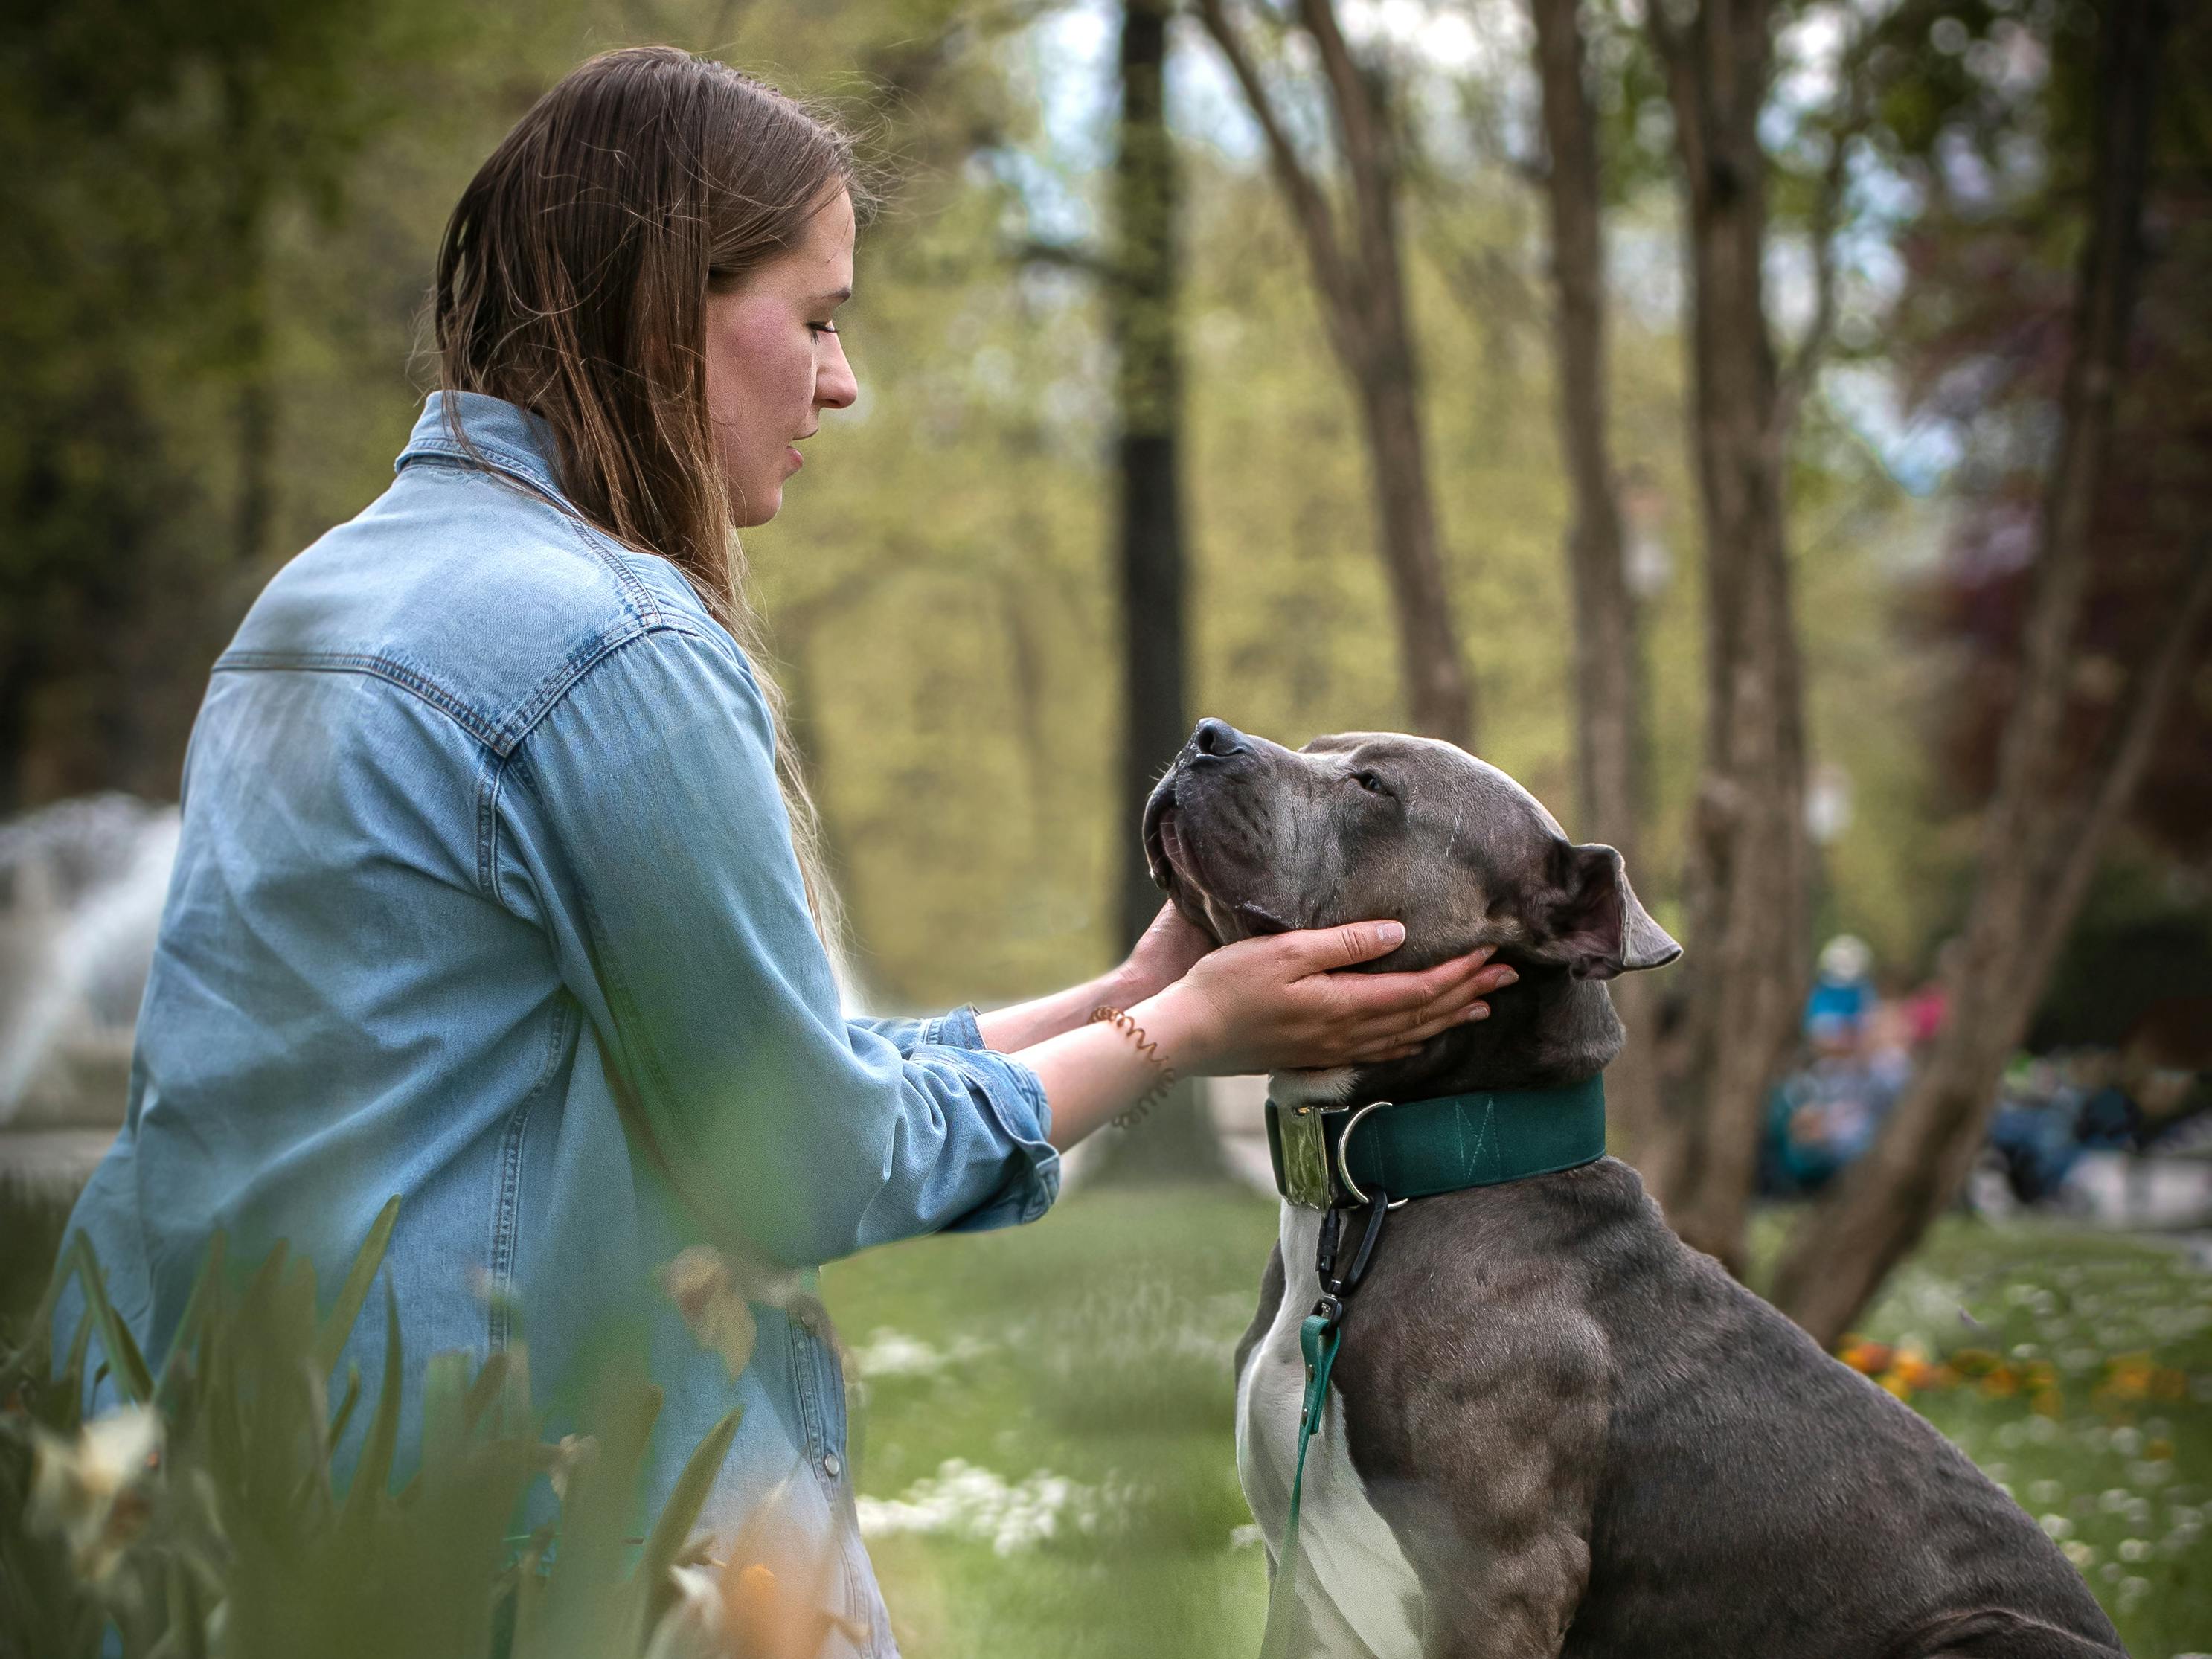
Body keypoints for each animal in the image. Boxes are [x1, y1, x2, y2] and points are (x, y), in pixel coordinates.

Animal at [1141, 725, 2123, 1659]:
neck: (1382, 1199)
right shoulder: (1304, 1590)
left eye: (1375, 786)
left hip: (1975, 1627)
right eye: (1316, 750)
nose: (1207, 737)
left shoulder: (1499, 1578)